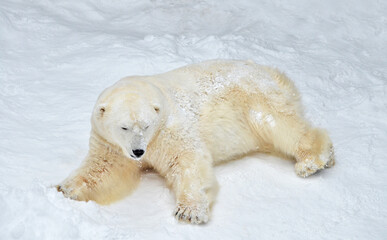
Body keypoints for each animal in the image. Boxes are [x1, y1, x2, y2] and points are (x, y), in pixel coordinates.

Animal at [56, 59, 334, 223]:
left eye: (146, 125)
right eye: (123, 127)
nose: (138, 152)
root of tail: (272, 73)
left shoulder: (169, 130)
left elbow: (187, 160)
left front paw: (188, 211)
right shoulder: (110, 143)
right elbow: (103, 169)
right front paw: (63, 189)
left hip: (255, 98)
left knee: (280, 124)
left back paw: (312, 161)